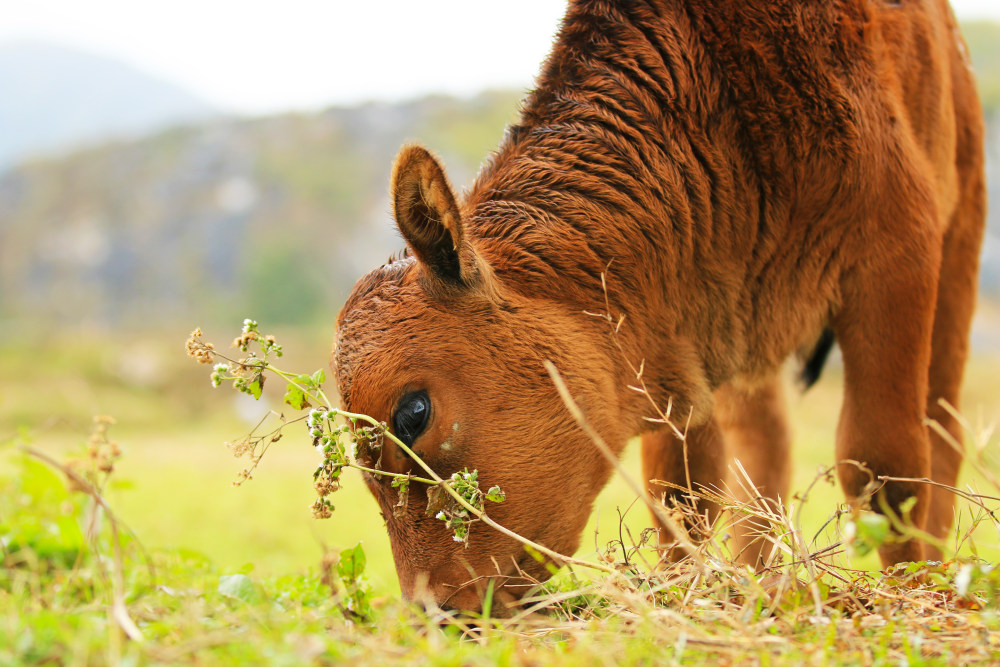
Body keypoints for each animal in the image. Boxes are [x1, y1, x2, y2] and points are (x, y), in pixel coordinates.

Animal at [334, 0, 984, 612]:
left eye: (413, 412)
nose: (434, 609)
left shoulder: (895, 262)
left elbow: (884, 463)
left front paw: (911, 590)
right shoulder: (681, 340)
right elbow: (682, 491)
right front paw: (684, 589)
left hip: (958, 249)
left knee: (941, 424)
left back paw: (934, 575)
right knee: (763, 452)